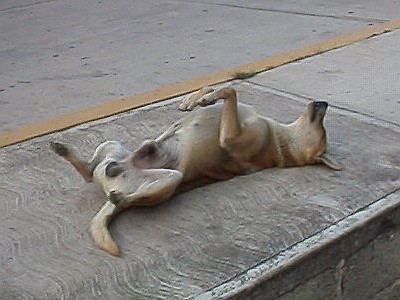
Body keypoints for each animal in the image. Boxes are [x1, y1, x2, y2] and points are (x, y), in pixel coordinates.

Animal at [51, 86, 342, 255]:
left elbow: (230, 89)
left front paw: (205, 99)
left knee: (128, 198)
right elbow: (219, 87)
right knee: (90, 171)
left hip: (170, 180)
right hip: (110, 145)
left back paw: (121, 195)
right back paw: (66, 151)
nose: (325, 102)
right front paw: (193, 101)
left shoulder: (230, 138)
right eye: (323, 127)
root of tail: (111, 184)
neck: (280, 142)